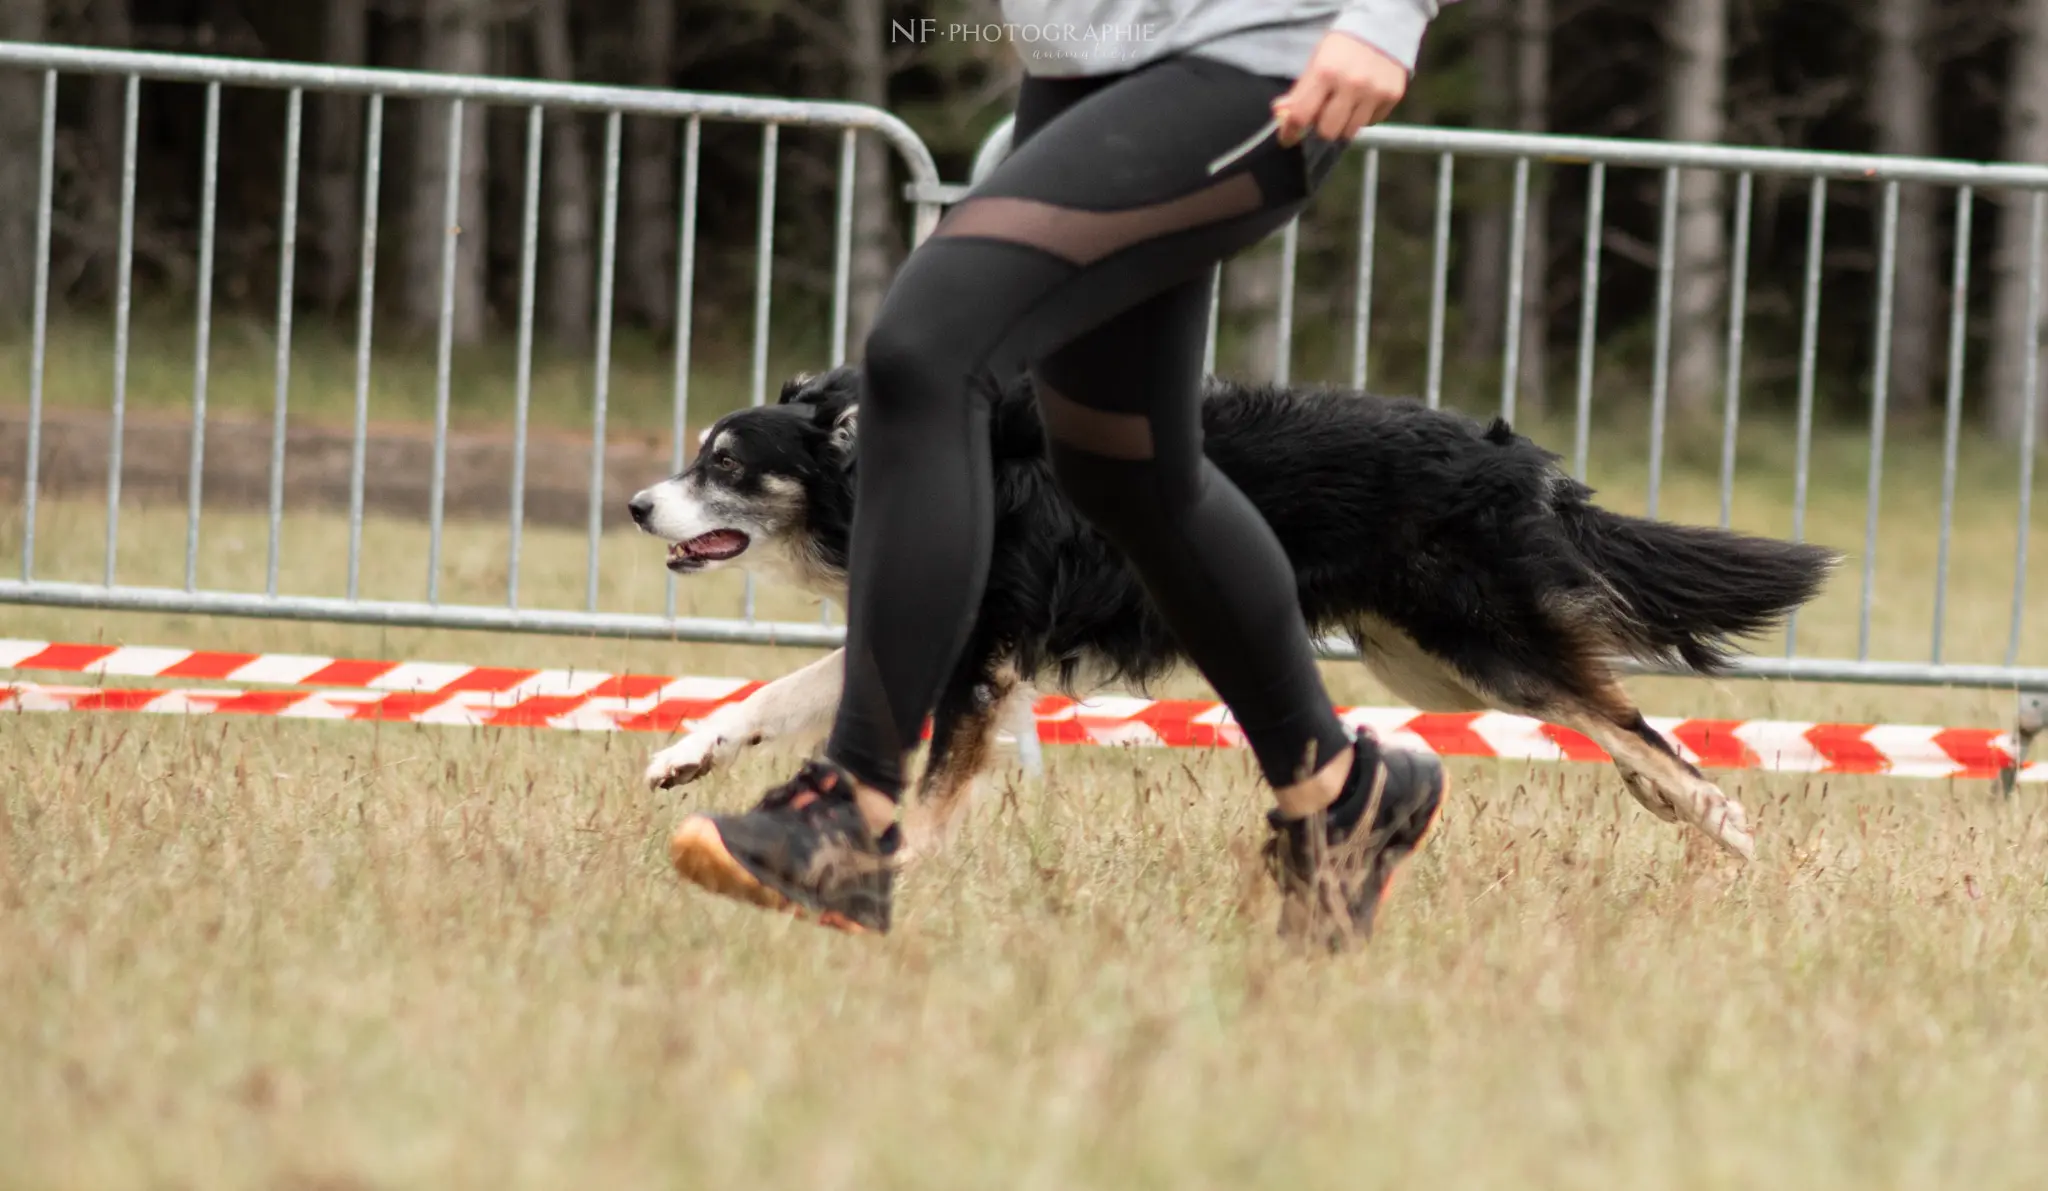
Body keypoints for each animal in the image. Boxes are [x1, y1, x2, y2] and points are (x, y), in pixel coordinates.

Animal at [622, 368, 1843, 863]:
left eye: (723, 462)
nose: (636, 506)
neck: (868, 473)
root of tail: (1523, 460)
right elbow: (774, 693)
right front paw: (685, 754)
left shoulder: (984, 646)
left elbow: (928, 779)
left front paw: (898, 862)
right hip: (1420, 660)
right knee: (1614, 719)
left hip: (1476, 639)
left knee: (1624, 720)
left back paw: (1722, 827)